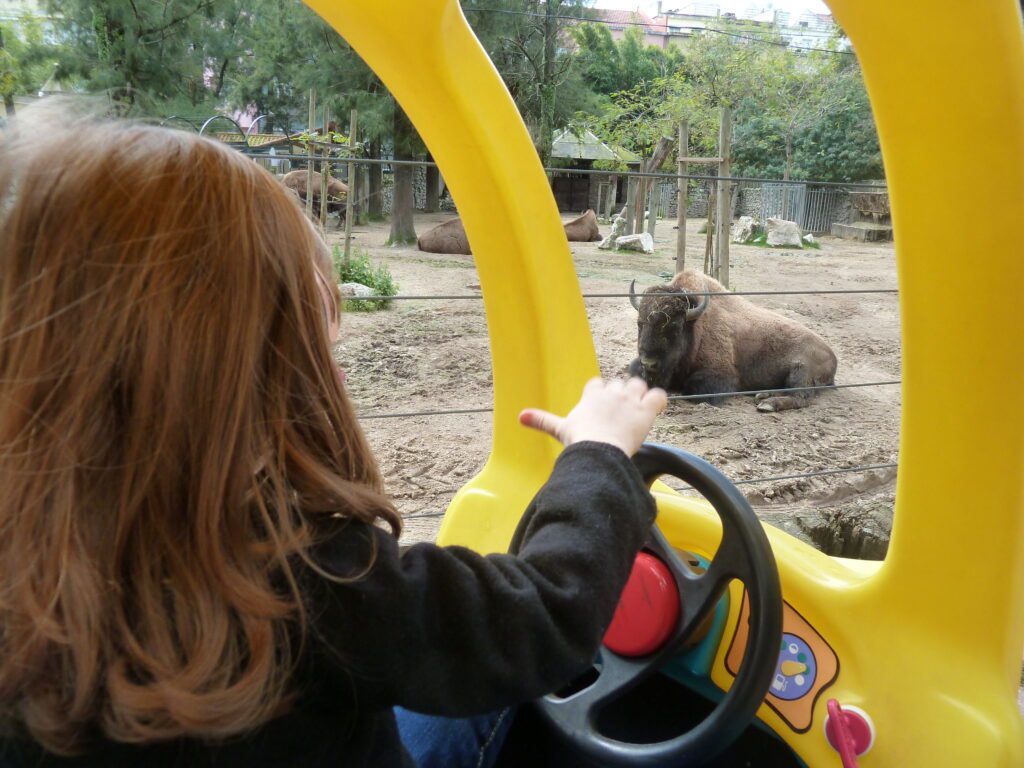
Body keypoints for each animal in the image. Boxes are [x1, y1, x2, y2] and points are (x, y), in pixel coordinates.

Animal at [622, 272, 839, 411]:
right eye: (640, 323)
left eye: (674, 326)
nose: (649, 363)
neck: (696, 325)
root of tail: (832, 355)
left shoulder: (721, 374)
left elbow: (696, 387)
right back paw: (763, 395)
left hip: (801, 372)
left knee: (800, 398)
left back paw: (767, 404)